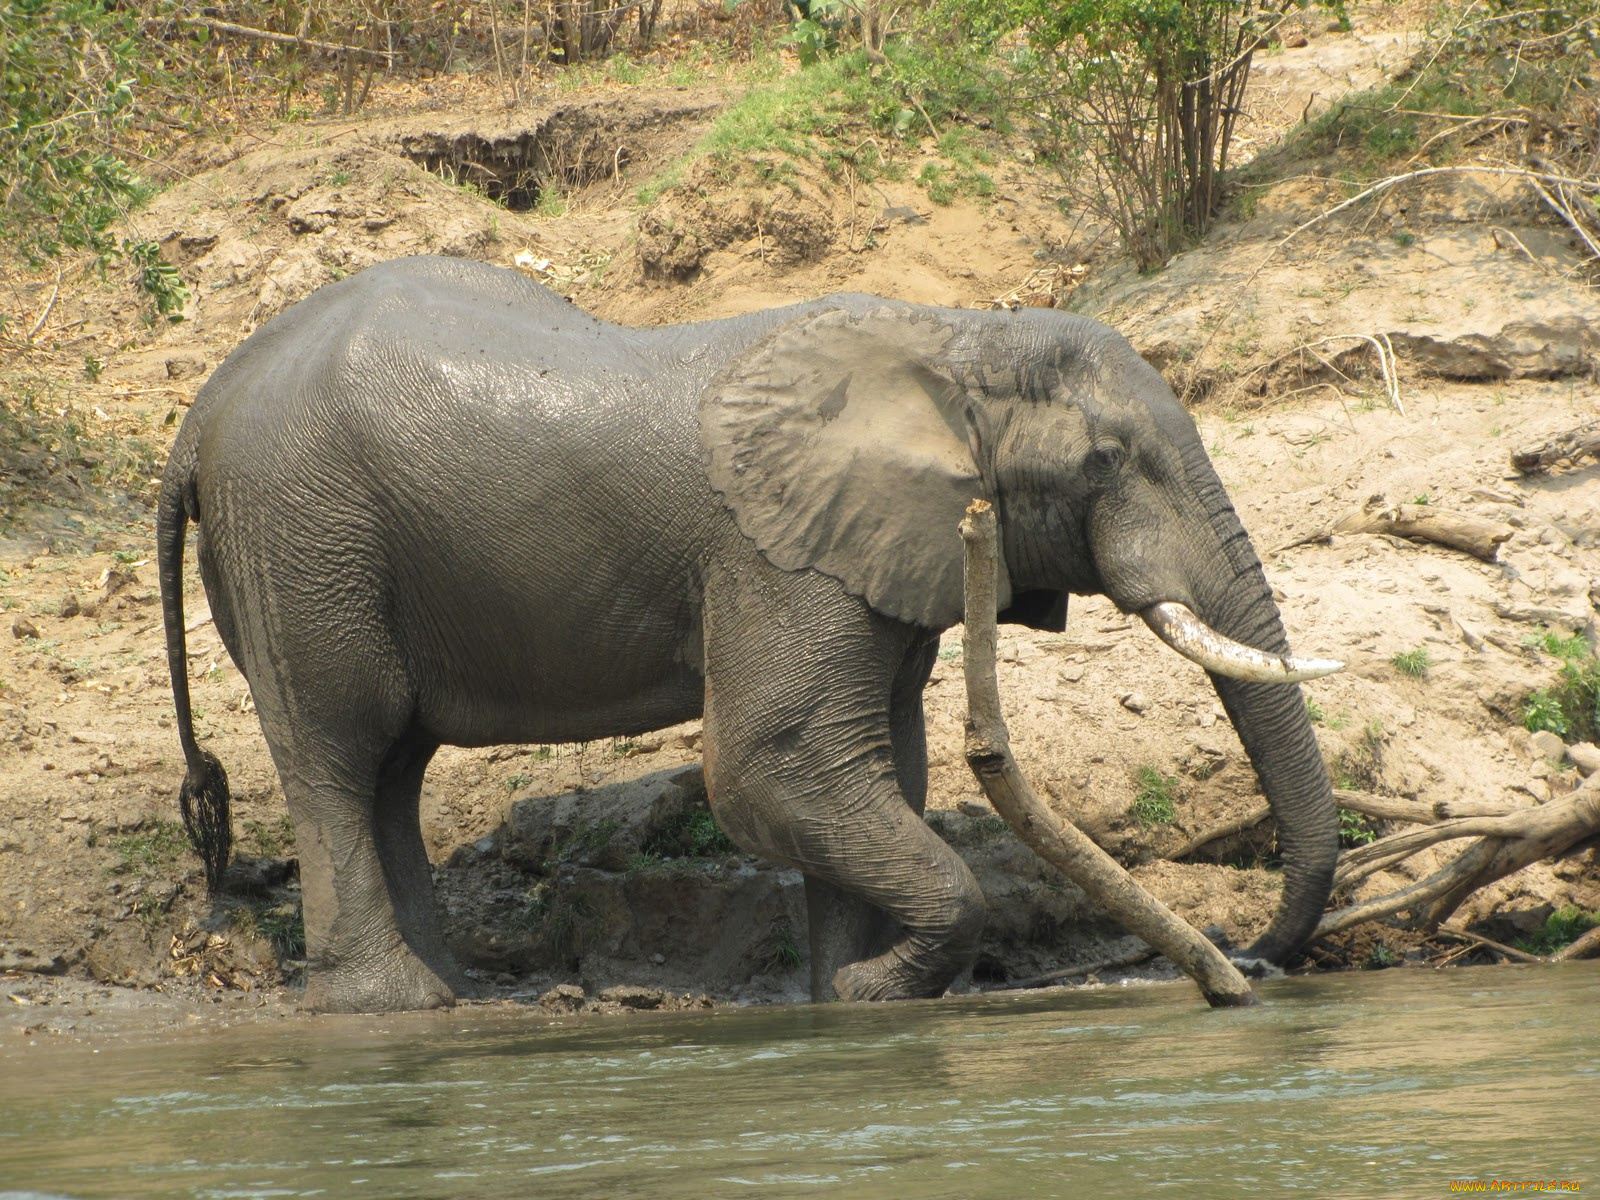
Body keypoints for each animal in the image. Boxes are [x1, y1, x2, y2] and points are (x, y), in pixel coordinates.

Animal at [159, 254, 1337, 1017]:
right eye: (1104, 462)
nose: (1251, 960)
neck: (956, 338)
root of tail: (200, 408)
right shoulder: (779, 558)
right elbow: (782, 767)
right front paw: (870, 989)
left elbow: (877, 769)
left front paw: (842, 1007)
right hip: (303, 536)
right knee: (339, 750)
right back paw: (392, 1008)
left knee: (393, 766)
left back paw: (448, 998)